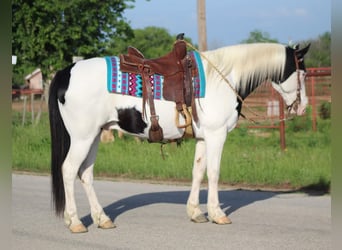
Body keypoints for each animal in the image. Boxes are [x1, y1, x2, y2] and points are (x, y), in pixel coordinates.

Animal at [48, 39, 312, 232]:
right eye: (303, 74)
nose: (302, 108)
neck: (223, 78)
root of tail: (66, 72)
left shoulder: (204, 138)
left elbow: (198, 172)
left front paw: (196, 212)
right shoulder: (217, 136)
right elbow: (214, 173)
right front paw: (217, 213)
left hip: (94, 136)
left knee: (86, 174)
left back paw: (102, 219)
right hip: (82, 138)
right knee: (69, 170)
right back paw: (76, 222)